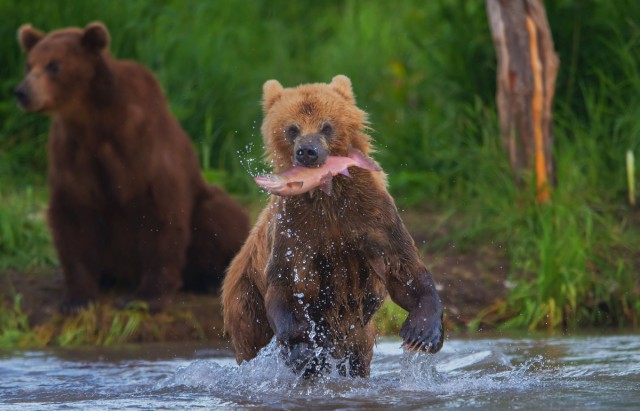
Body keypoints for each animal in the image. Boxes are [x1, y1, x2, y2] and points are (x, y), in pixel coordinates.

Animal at [14, 21, 250, 312]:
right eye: (29, 64)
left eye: (54, 65)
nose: (22, 92)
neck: (94, 120)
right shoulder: (71, 151)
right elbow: (74, 215)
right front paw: (76, 297)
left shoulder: (140, 145)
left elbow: (160, 214)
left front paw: (144, 297)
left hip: (206, 206)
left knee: (221, 214)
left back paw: (207, 279)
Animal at [222, 75, 442, 378]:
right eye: (292, 128)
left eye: (326, 126)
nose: (307, 151)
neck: (326, 195)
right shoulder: (293, 228)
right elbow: (286, 282)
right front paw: (301, 348)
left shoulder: (369, 214)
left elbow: (402, 266)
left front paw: (422, 332)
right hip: (245, 297)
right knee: (252, 337)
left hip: (357, 332)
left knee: (357, 354)